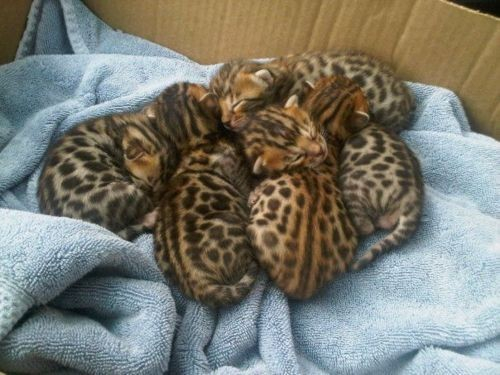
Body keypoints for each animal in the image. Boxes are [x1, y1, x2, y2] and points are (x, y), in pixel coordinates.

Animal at [244, 77, 370, 300]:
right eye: (297, 156)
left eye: (311, 134)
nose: (320, 150)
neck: (322, 119)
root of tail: (302, 287)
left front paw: (254, 192)